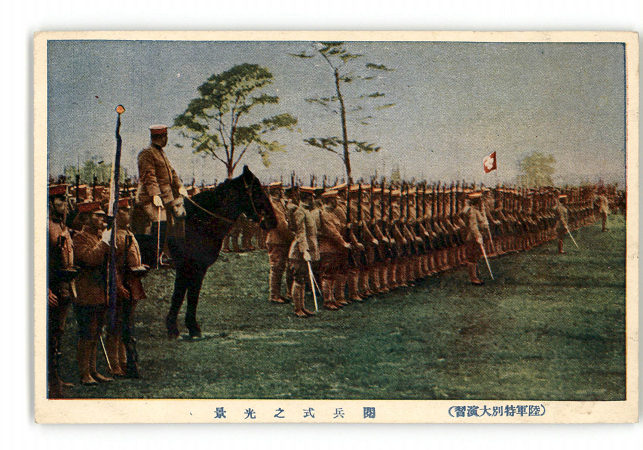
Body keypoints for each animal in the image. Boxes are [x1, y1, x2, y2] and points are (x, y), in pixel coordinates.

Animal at [165, 165, 278, 339]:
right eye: (257, 190)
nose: (273, 220)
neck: (197, 221)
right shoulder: (189, 267)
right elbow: (183, 295)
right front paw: (178, 328)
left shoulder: (193, 268)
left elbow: (188, 295)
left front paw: (188, 327)